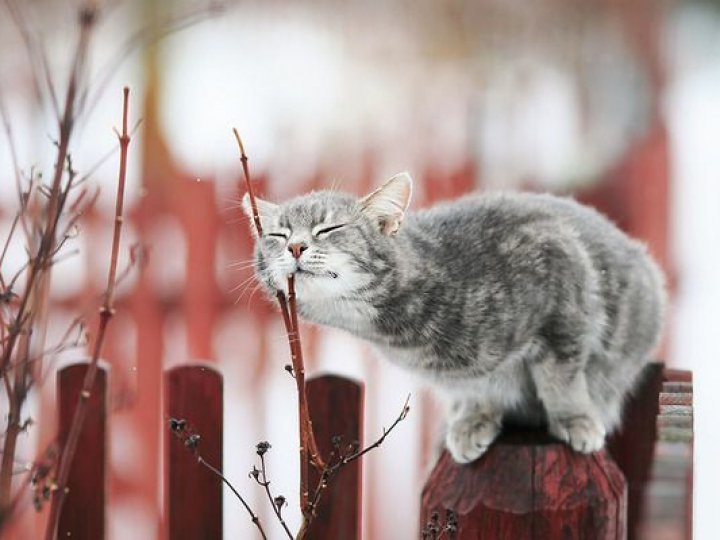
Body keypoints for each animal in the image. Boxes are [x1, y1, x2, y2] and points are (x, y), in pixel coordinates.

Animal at [242, 173, 664, 464]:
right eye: (278, 235)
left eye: (329, 228)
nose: (296, 246)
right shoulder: (461, 377)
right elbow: (478, 389)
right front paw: (473, 421)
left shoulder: (562, 288)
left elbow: (561, 378)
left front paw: (575, 419)